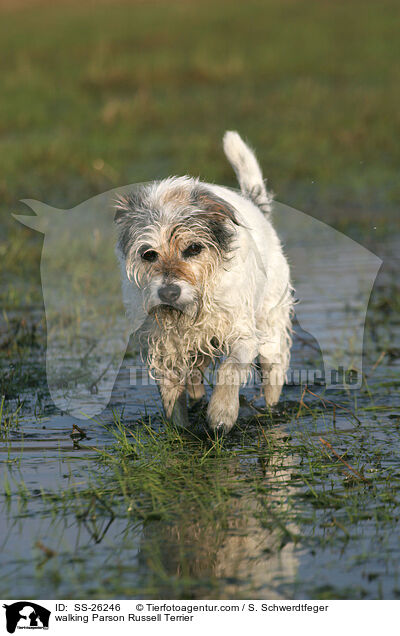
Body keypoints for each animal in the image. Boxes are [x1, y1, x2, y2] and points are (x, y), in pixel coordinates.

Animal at [114, 132, 292, 434]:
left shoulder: (242, 333)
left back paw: (270, 410)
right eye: (148, 254)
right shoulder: (163, 345)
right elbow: (171, 393)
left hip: (270, 329)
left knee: (273, 375)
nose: (168, 292)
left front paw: (222, 413)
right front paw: (179, 430)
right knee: (195, 377)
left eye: (194, 248)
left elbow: (230, 369)